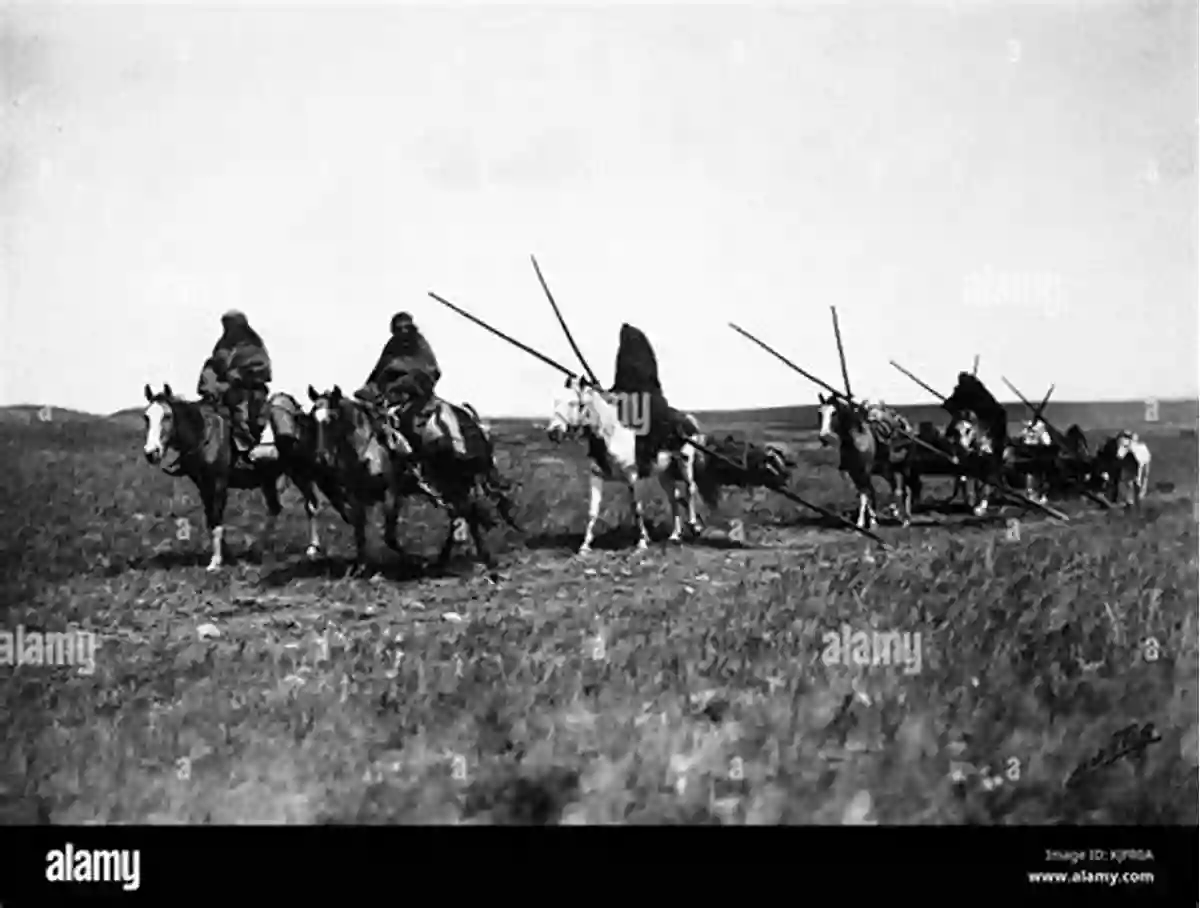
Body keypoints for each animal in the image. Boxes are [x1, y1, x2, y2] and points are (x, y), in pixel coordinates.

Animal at [142, 386, 336, 570]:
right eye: (146, 417)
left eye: (167, 416)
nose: (151, 453)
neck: (205, 435)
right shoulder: (203, 486)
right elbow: (211, 519)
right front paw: (225, 555)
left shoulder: (219, 484)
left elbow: (216, 519)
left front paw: (215, 562)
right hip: (268, 479)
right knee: (275, 508)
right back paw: (259, 549)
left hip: (299, 473)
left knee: (311, 505)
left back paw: (312, 548)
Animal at [547, 374, 700, 551]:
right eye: (555, 401)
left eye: (573, 402)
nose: (553, 433)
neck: (612, 434)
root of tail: (688, 419)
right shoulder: (596, 476)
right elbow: (593, 510)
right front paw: (585, 545)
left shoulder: (632, 476)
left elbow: (637, 508)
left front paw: (642, 543)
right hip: (664, 473)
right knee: (673, 497)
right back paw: (675, 535)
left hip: (685, 464)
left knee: (690, 489)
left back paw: (694, 526)